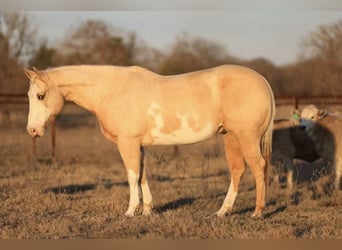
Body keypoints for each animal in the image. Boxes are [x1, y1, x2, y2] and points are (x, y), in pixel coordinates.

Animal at [24, 64, 276, 217]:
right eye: (30, 96)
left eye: (40, 96)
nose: (32, 130)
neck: (112, 90)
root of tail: (262, 80)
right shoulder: (140, 145)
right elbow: (142, 174)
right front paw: (147, 210)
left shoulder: (127, 143)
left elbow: (131, 175)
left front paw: (130, 211)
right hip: (231, 138)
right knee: (238, 170)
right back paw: (223, 211)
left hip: (246, 138)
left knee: (258, 167)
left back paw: (257, 212)